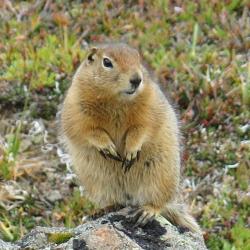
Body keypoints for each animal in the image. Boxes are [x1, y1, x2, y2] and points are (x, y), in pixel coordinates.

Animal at [60, 42, 201, 232]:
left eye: (138, 59)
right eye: (107, 62)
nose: (136, 79)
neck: (116, 100)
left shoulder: (150, 104)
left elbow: (142, 128)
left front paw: (131, 151)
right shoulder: (75, 107)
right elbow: (86, 130)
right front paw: (108, 147)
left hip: (160, 177)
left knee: (160, 203)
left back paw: (146, 212)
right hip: (99, 183)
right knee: (116, 201)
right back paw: (103, 210)